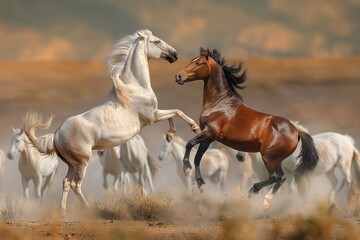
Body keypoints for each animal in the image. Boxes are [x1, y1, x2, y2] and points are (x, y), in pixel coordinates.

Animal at [23, 29, 201, 212]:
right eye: (157, 41)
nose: (175, 54)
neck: (135, 86)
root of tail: (56, 135)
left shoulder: (154, 115)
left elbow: (173, 115)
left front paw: (170, 135)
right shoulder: (153, 116)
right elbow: (177, 112)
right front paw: (194, 127)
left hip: (71, 164)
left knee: (65, 183)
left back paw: (63, 212)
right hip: (81, 162)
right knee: (75, 185)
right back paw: (88, 208)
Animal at [174, 48, 318, 210]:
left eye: (199, 63)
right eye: (191, 60)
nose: (178, 76)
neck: (219, 104)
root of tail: (297, 131)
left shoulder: (209, 132)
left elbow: (189, 144)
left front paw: (186, 168)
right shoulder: (209, 138)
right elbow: (198, 157)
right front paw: (201, 184)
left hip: (268, 157)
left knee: (277, 177)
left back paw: (260, 196)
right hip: (276, 159)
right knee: (279, 178)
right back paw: (260, 196)